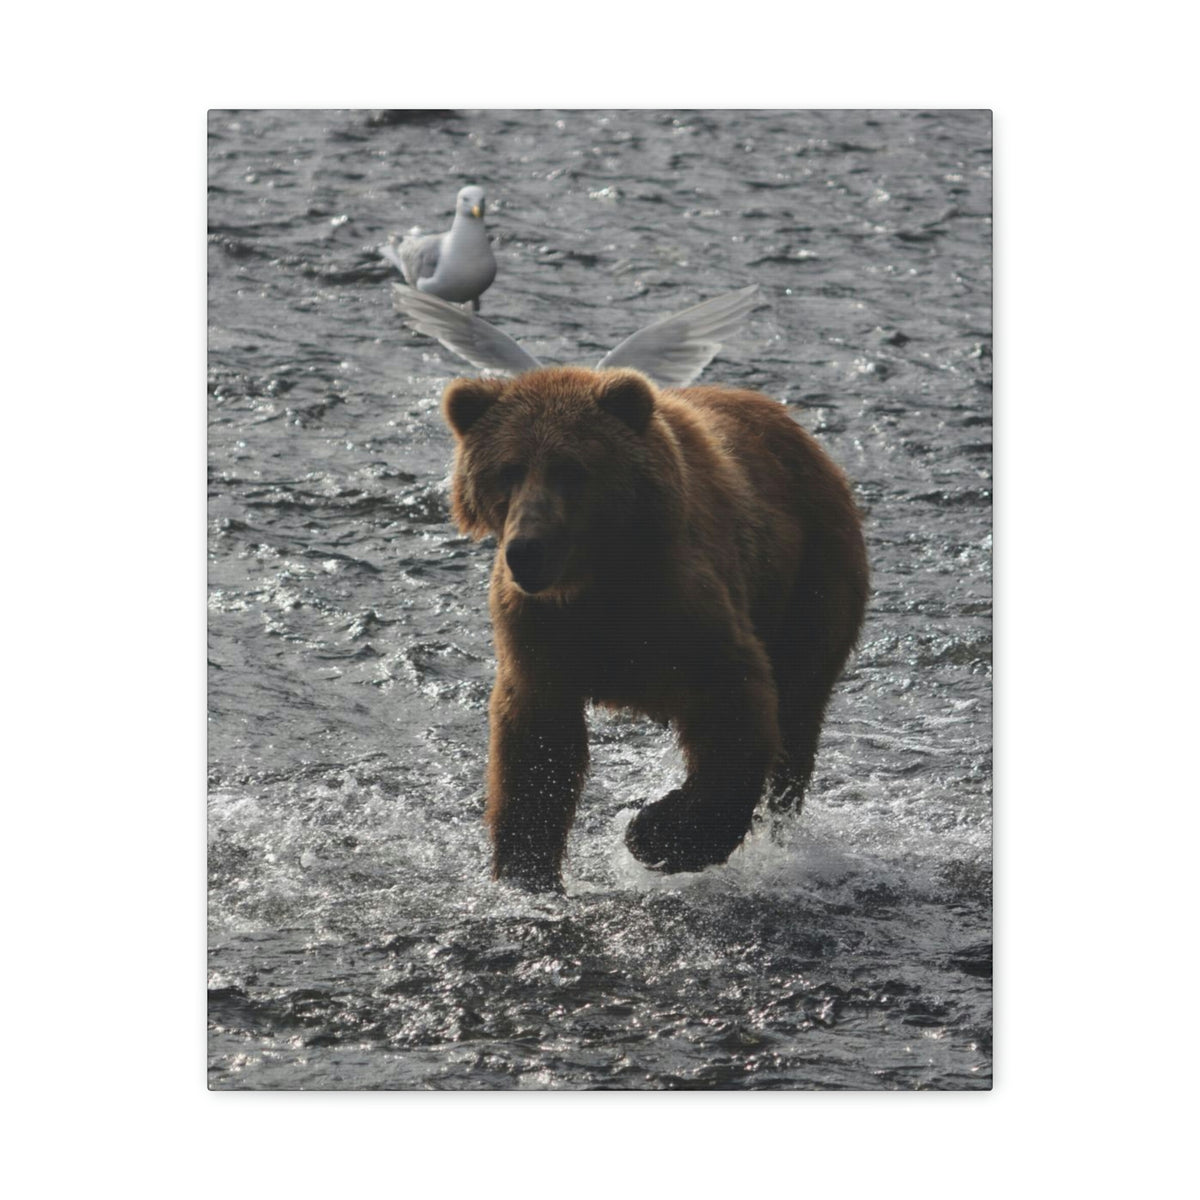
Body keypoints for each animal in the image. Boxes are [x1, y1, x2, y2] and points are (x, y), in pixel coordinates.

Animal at [441, 365, 868, 892]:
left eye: (570, 469)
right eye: (508, 469)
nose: (526, 549)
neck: (598, 582)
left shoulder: (684, 606)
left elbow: (735, 706)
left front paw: (658, 834)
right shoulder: (540, 629)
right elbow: (537, 745)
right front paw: (526, 871)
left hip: (812, 576)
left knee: (798, 708)